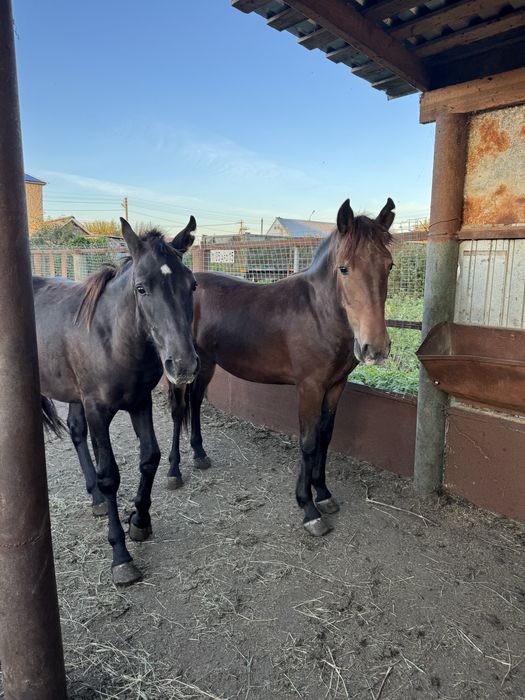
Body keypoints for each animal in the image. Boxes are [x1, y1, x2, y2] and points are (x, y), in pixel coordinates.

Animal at [34, 217, 198, 585]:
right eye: (141, 288)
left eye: (192, 285)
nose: (183, 365)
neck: (112, 339)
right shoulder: (98, 410)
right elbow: (109, 474)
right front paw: (121, 556)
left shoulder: (139, 403)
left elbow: (149, 457)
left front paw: (140, 520)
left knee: (75, 431)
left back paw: (95, 498)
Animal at [168, 198, 395, 536]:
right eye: (344, 268)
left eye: (389, 265)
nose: (375, 348)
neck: (318, 314)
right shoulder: (310, 388)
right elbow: (309, 442)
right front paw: (308, 507)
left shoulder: (335, 386)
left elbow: (326, 436)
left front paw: (323, 493)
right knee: (178, 408)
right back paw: (174, 471)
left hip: (205, 362)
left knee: (195, 401)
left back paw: (199, 454)